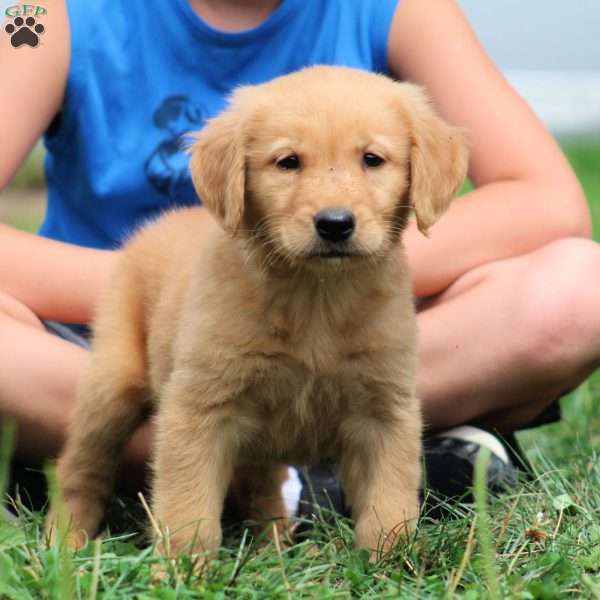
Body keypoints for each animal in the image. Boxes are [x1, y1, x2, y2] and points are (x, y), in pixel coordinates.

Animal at [50, 64, 468, 556]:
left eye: (372, 159)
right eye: (288, 162)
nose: (334, 224)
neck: (316, 299)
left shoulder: (385, 409)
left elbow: (388, 500)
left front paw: (391, 559)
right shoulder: (198, 408)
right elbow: (188, 507)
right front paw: (180, 567)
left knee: (261, 483)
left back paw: (276, 545)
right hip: (113, 385)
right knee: (80, 467)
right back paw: (66, 542)